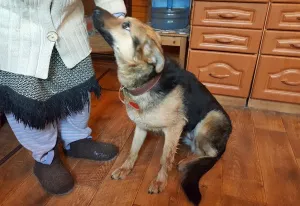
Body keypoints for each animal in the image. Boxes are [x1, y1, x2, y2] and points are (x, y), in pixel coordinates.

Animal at [92, 7, 232, 205]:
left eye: (126, 25)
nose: (95, 9)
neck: (146, 81)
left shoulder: (174, 129)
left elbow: (165, 159)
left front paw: (160, 181)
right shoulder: (140, 127)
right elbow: (133, 151)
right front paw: (125, 169)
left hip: (210, 119)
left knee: (212, 154)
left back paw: (185, 163)